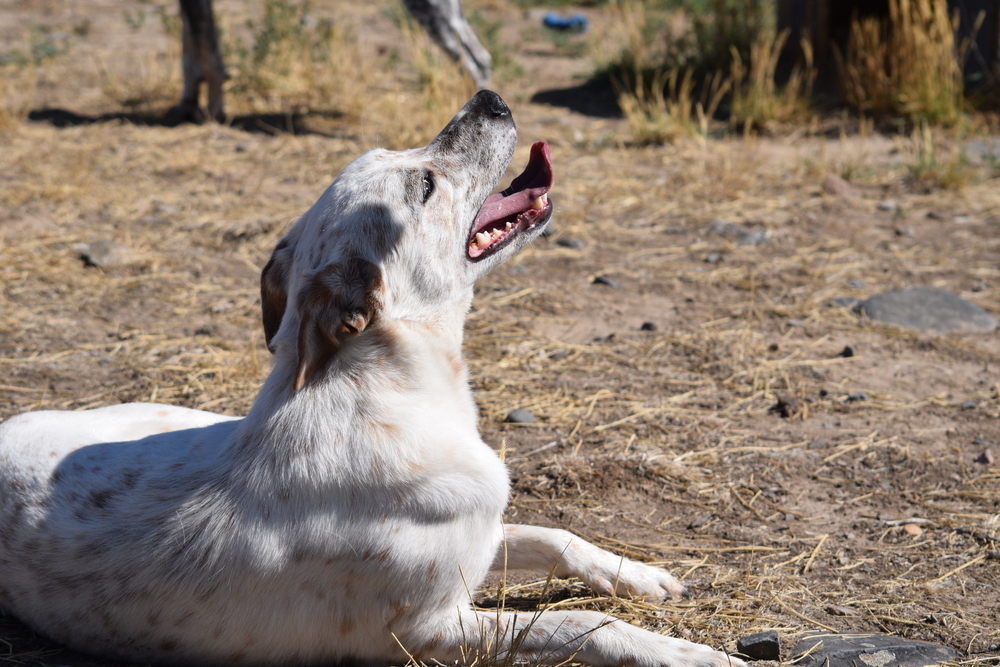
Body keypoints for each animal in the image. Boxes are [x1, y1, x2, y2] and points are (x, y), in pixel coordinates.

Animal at [0, 92, 744, 667]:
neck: (403, 393)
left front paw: (642, 576)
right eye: (425, 186)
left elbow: (557, 536)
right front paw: (687, 651)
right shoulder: (431, 630)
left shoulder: (480, 539)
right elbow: (585, 623)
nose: (489, 96)